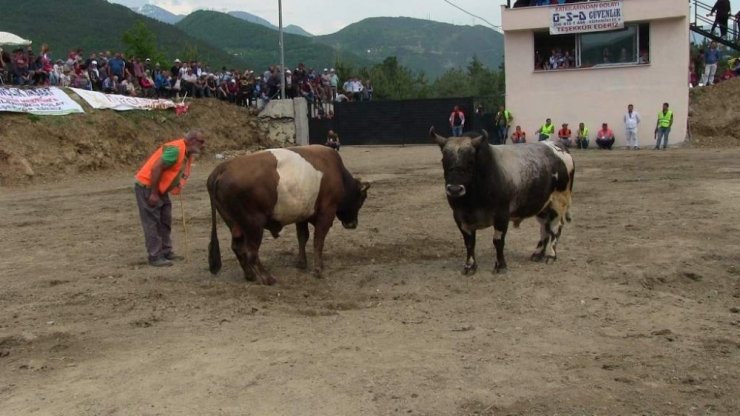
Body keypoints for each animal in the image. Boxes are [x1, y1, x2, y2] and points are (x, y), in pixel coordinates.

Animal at [205, 145, 370, 284]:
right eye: (362, 198)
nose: (353, 224)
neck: (338, 173)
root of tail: (223, 167)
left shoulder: (302, 215)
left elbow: (302, 237)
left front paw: (302, 263)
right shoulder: (326, 213)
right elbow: (318, 240)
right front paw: (318, 269)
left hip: (236, 225)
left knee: (238, 248)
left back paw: (250, 275)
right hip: (254, 225)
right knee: (251, 252)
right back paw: (267, 278)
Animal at [430, 128, 576, 274]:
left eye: (470, 161)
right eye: (444, 160)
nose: (455, 189)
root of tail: (558, 146)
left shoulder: (501, 215)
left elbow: (498, 241)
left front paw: (500, 265)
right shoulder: (460, 217)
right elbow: (469, 242)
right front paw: (470, 266)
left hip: (558, 201)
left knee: (556, 227)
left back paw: (551, 255)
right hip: (542, 206)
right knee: (544, 228)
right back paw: (537, 253)